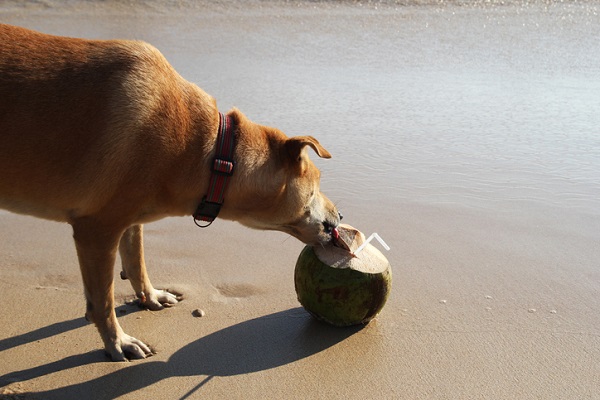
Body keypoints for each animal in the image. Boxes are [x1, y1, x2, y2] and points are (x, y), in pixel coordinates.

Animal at [0, 25, 338, 362]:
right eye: (317, 186)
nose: (340, 215)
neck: (214, 156)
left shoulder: (127, 219)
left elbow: (136, 260)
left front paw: (149, 296)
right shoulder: (96, 230)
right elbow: (103, 302)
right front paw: (117, 342)